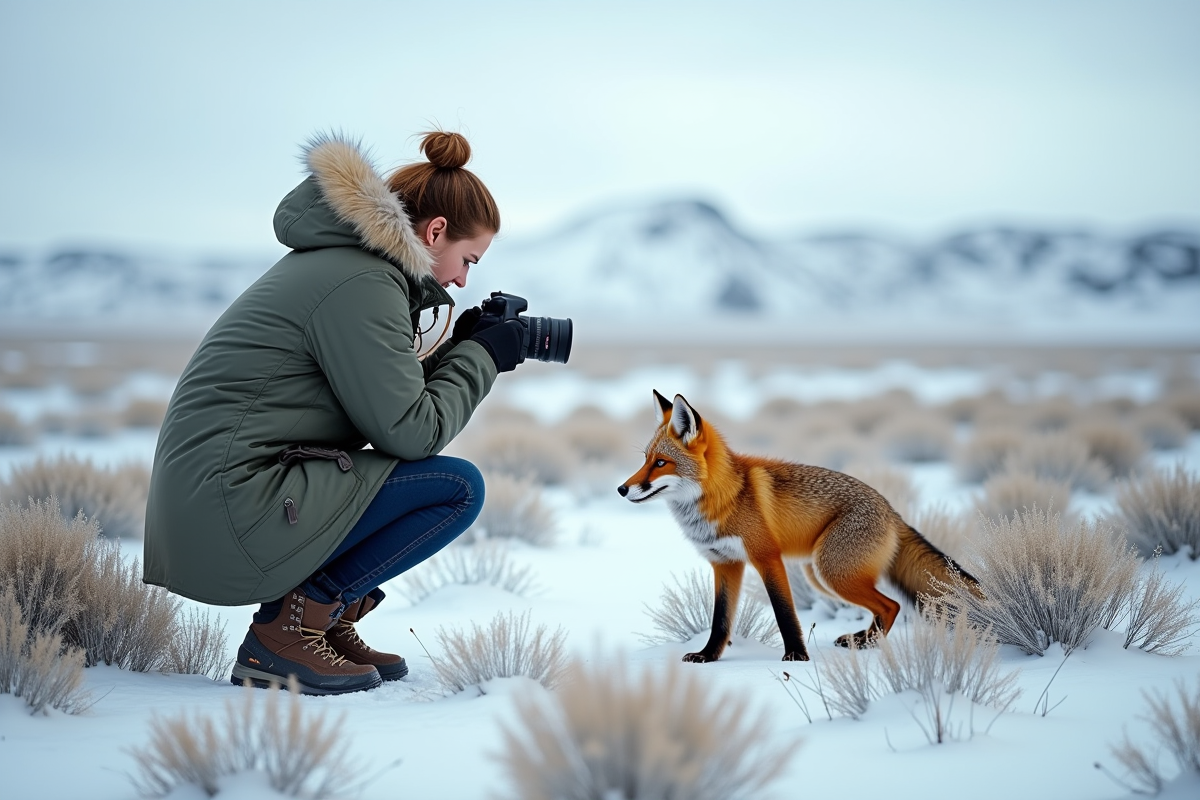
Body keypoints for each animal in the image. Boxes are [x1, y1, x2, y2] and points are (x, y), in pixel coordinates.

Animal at [619, 390, 979, 663]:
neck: (724, 497)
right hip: (820, 577)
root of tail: (892, 510)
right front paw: (708, 657)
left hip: (832, 572)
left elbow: (784, 613)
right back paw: (861, 640)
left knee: (892, 606)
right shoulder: (724, 563)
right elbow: (720, 620)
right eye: (645, 459)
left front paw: (796, 657)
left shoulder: (767, 557)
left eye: (661, 463)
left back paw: (867, 644)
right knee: (887, 607)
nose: (622, 489)